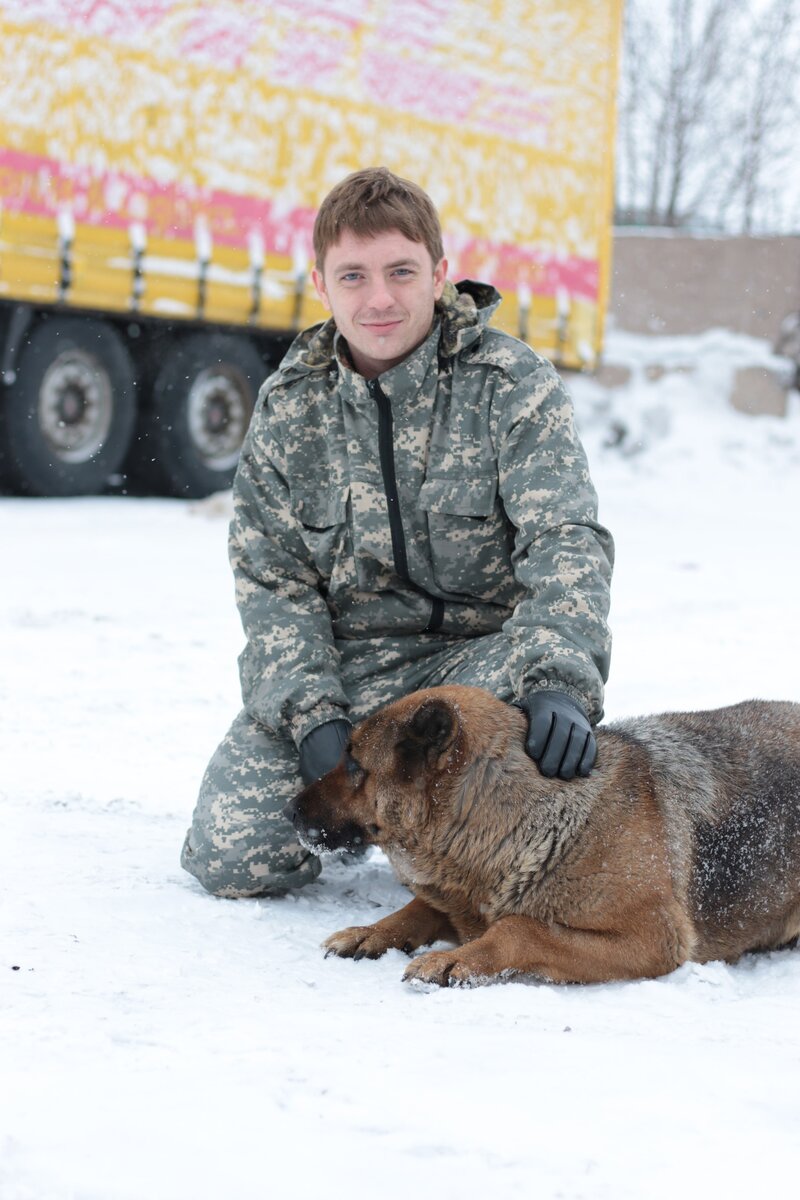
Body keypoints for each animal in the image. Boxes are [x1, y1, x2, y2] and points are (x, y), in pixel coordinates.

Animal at [284, 686, 800, 984]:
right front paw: (370, 932)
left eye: (354, 764)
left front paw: (456, 959)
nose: (288, 811)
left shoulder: (652, 936)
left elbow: (519, 927)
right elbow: (419, 908)